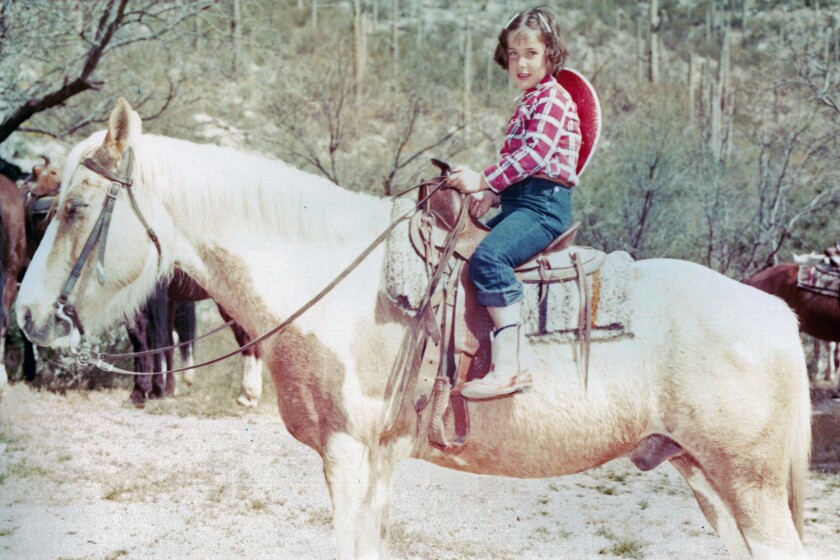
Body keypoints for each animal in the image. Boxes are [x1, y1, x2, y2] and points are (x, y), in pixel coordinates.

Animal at [16, 101, 812, 560]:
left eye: (77, 207)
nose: (25, 315)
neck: (331, 278)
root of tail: (776, 315)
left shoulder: (347, 454)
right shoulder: (376, 463)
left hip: (751, 488)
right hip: (704, 477)